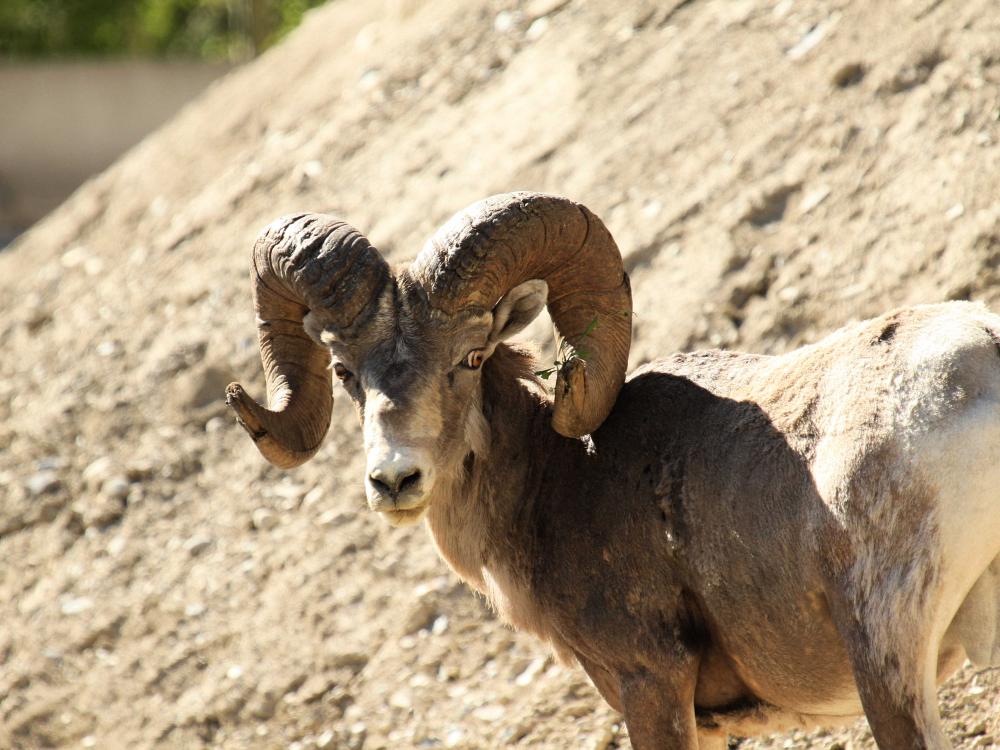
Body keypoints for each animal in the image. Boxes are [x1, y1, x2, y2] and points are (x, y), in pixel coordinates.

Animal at [229, 194, 1000, 750]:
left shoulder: (649, 685)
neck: (557, 480)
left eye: (470, 357)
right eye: (344, 372)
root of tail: (982, 362)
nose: (394, 481)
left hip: (887, 666)